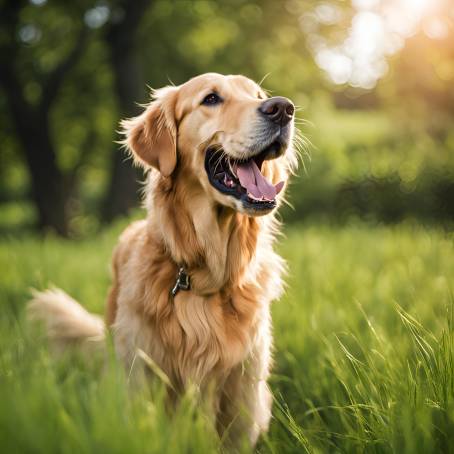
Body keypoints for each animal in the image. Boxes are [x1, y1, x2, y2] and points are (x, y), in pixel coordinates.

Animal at [29, 72, 298, 448]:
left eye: (259, 95)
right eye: (211, 98)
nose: (283, 109)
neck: (203, 273)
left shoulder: (241, 392)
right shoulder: (143, 376)